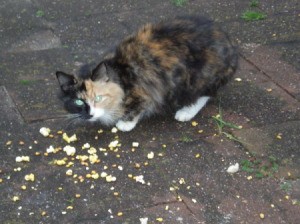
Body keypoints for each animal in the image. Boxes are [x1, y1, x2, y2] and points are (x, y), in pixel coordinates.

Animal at [56, 16, 238, 132]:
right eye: (78, 102)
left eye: (98, 98)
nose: (90, 114)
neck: (118, 74)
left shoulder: (146, 92)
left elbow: (137, 107)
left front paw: (125, 123)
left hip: (197, 78)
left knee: (206, 94)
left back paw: (185, 112)